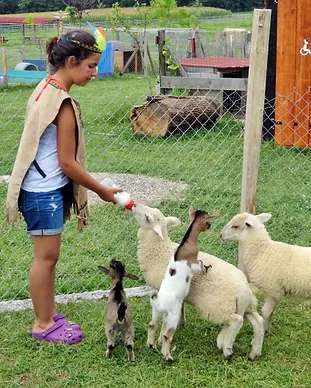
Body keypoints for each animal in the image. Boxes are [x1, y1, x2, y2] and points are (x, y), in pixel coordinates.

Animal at [132, 205, 266, 360]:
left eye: (147, 217)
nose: (134, 206)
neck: (158, 250)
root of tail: (244, 290)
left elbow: (165, 321)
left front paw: (160, 340)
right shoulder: (179, 297)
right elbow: (181, 309)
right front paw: (181, 324)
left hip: (219, 308)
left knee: (237, 320)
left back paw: (227, 348)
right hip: (245, 306)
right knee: (258, 321)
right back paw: (254, 351)